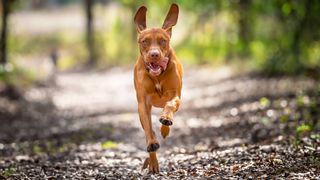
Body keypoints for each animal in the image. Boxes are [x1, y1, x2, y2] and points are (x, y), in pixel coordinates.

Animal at [132, 3, 182, 173]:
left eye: (163, 41)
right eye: (144, 41)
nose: (154, 55)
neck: (157, 75)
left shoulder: (176, 95)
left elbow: (170, 104)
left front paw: (166, 119)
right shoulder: (143, 104)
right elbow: (148, 129)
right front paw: (152, 144)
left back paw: (165, 127)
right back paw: (152, 162)